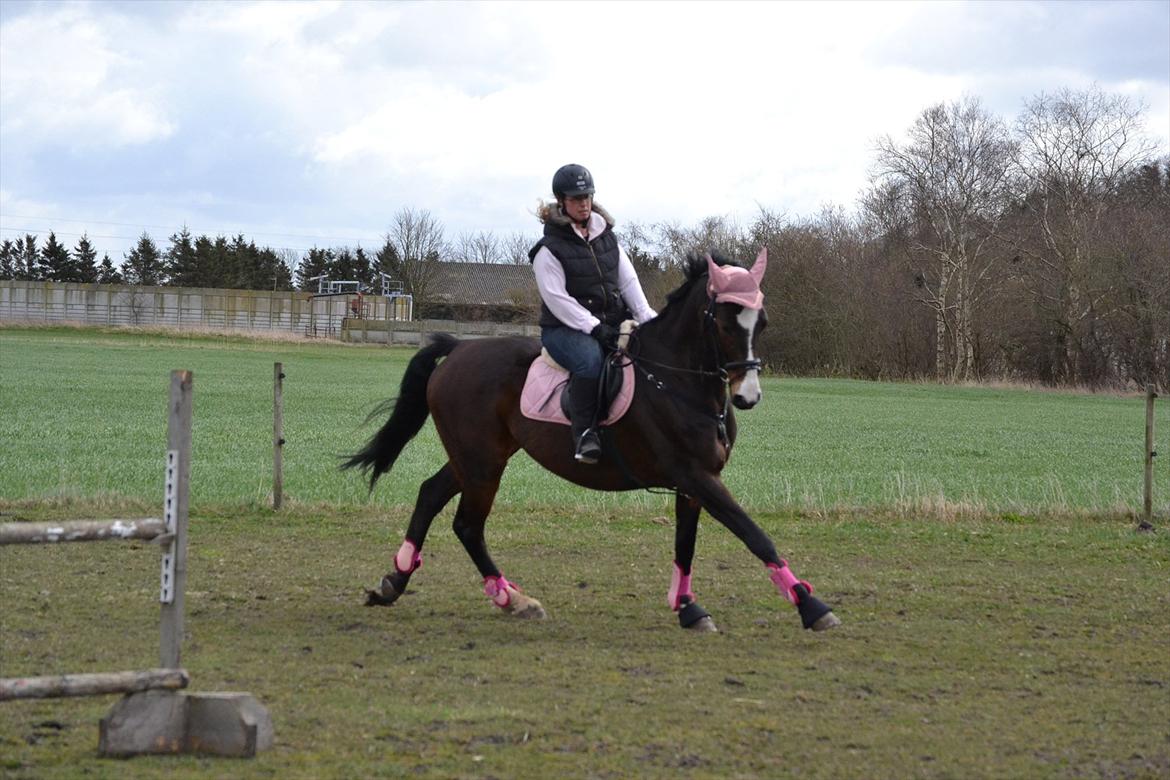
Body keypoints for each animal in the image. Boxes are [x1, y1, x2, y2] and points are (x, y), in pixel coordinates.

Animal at [341, 250, 842, 636]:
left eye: (763, 322)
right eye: (722, 322)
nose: (747, 396)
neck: (680, 383)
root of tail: (460, 349)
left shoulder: (694, 484)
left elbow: (685, 546)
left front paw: (688, 609)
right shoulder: (697, 476)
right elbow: (754, 534)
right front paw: (811, 606)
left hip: (478, 457)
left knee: (430, 495)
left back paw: (397, 583)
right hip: (482, 463)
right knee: (467, 524)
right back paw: (510, 599)